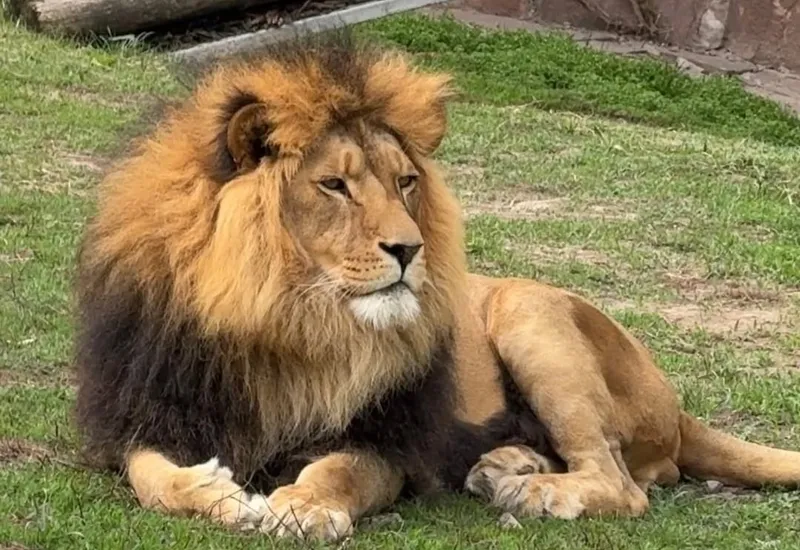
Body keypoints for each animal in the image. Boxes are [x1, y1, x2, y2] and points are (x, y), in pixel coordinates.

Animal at [74, 33, 800, 541]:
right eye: (333, 185)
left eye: (405, 182)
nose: (408, 248)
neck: (289, 317)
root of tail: (678, 408)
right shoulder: (153, 408)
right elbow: (149, 474)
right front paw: (216, 492)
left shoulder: (387, 444)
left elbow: (338, 468)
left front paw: (303, 506)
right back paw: (508, 466)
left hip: (528, 313)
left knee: (625, 483)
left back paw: (537, 492)